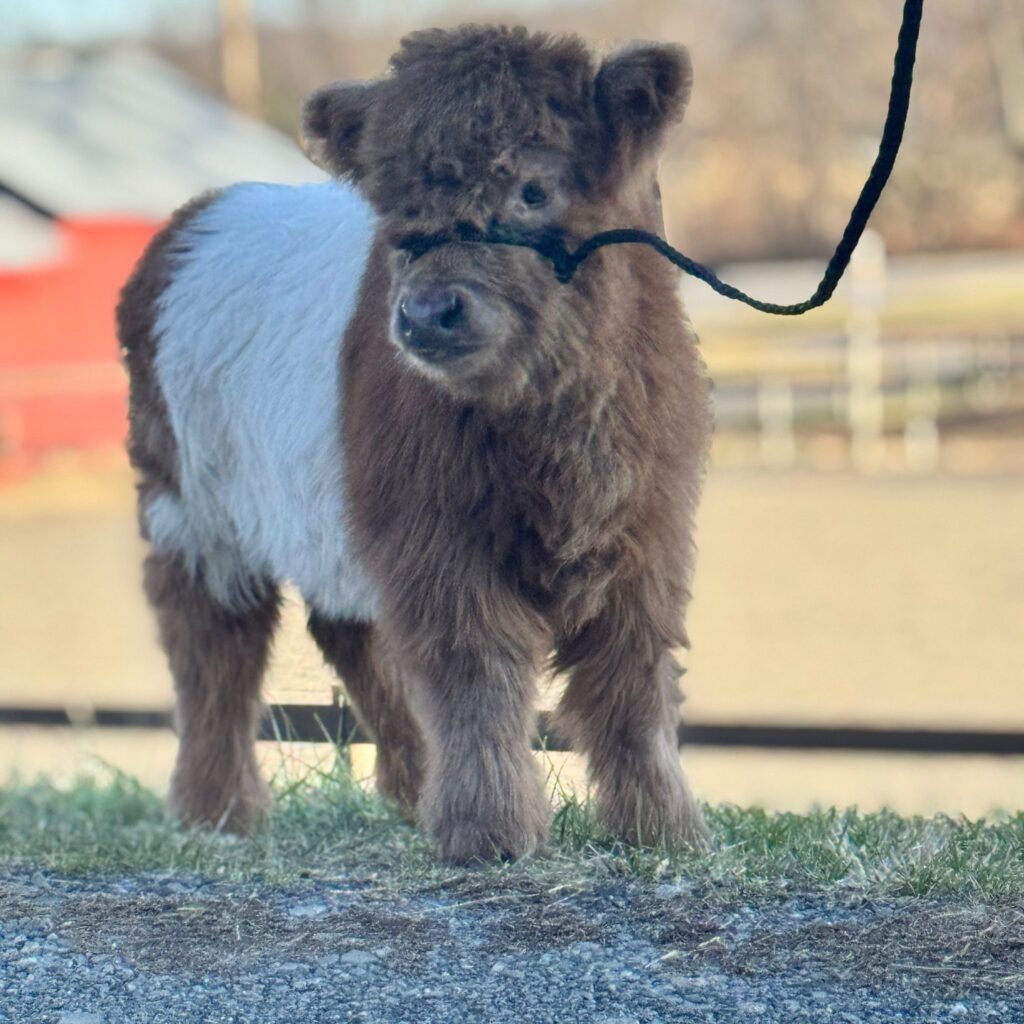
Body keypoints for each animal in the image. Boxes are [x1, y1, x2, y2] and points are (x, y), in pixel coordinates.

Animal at [117, 25, 713, 863]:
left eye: (535, 190)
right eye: (395, 207)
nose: (429, 313)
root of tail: (198, 214)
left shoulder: (649, 534)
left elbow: (631, 683)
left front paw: (663, 828)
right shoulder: (435, 535)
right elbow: (476, 671)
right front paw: (489, 830)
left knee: (349, 634)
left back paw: (410, 787)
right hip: (192, 507)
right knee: (213, 644)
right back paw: (219, 809)